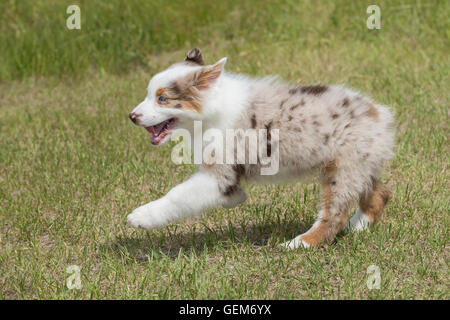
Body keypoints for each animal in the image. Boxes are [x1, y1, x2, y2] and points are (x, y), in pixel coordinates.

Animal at [126, 48, 394, 249]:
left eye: (162, 99)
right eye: (149, 94)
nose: (132, 116)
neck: (212, 108)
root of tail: (379, 114)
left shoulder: (218, 173)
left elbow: (178, 195)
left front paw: (140, 217)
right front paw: (236, 197)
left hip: (343, 169)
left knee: (334, 215)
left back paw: (298, 244)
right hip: (356, 165)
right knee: (380, 194)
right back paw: (356, 227)